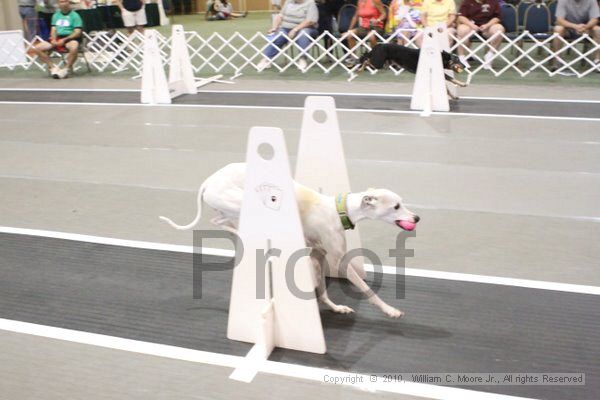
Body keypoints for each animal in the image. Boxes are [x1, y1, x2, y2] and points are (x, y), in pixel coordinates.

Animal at [162, 163, 420, 318]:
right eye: (396, 206)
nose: (417, 218)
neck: (340, 209)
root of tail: (209, 180)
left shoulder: (318, 256)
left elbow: (322, 290)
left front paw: (336, 307)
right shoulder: (339, 261)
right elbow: (367, 290)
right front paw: (390, 310)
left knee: (221, 219)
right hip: (240, 204)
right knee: (218, 221)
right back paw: (240, 233)